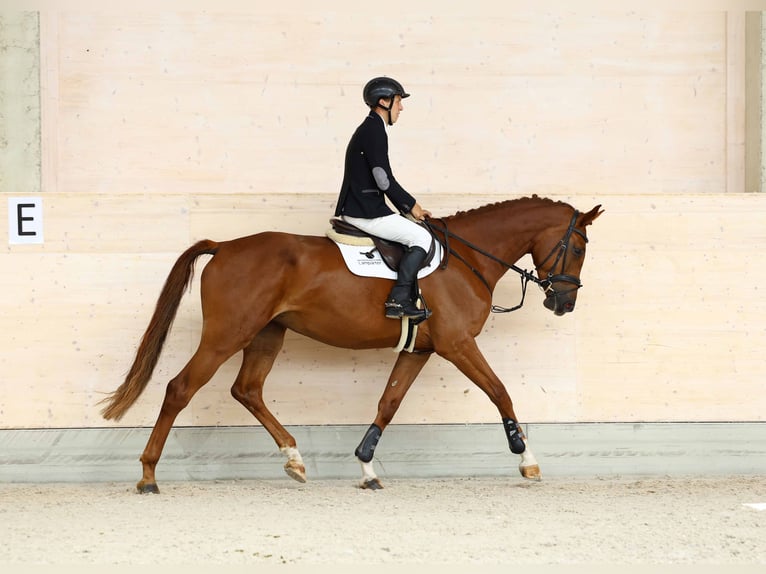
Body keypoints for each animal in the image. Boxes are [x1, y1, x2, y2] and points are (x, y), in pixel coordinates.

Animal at [100, 194, 603, 493]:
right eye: (578, 248)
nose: (564, 303)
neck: (467, 259)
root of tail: (224, 246)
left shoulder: (419, 350)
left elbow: (388, 403)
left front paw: (366, 468)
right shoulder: (457, 345)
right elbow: (501, 392)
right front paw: (528, 460)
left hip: (267, 334)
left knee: (247, 390)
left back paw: (294, 459)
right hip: (228, 334)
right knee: (180, 389)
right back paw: (148, 475)